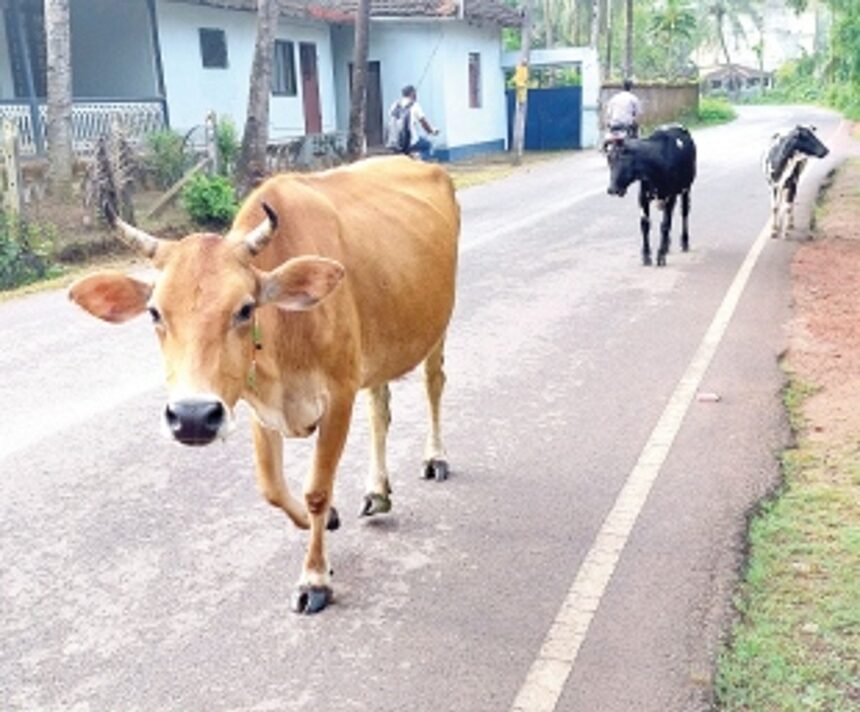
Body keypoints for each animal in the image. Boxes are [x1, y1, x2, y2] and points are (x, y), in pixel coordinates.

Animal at [69, 156, 460, 614]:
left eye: (244, 308)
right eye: (154, 312)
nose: (193, 416)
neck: (285, 332)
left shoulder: (339, 396)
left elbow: (316, 489)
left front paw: (314, 578)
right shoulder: (256, 406)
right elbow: (272, 488)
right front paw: (328, 521)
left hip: (437, 328)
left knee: (434, 385)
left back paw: (435, 458)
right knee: (380, 407)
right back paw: (377, 491)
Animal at [605, 125, 697, 267]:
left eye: (623, 159)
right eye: (609, 160)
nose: (611, 189)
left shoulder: (670, 196)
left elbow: (665, 225)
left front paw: (660, 255)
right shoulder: (643, 197)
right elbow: (645, 225)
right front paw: (646, 255)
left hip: (686, 189)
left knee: (684, 214)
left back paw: (684, 242)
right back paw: (667, 245)